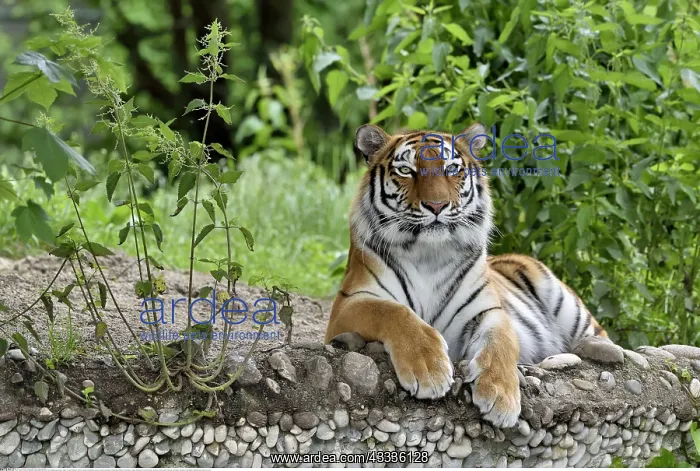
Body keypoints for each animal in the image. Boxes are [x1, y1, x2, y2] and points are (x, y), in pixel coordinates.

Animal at [324, 123, 608, 428]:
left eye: (451, 169)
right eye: (407, 170)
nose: (436, 205)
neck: (428, 254)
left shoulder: (487, 311)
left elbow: (500, 343)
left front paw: (500, 396)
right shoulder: (348, 303)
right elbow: (394, 313)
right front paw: (429, 368)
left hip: (569, 308)